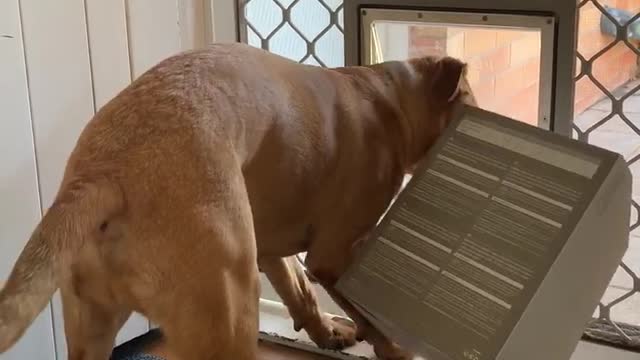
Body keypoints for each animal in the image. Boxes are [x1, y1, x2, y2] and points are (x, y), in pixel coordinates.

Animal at [0, 43, 476, 360]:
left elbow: (300, 291)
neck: (391, 99)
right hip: (229, 308)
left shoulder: (271, 249)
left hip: (92, 324)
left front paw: (327, 333)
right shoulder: (335, 255)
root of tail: (103, 172)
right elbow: (367, 314)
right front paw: (393, 348)